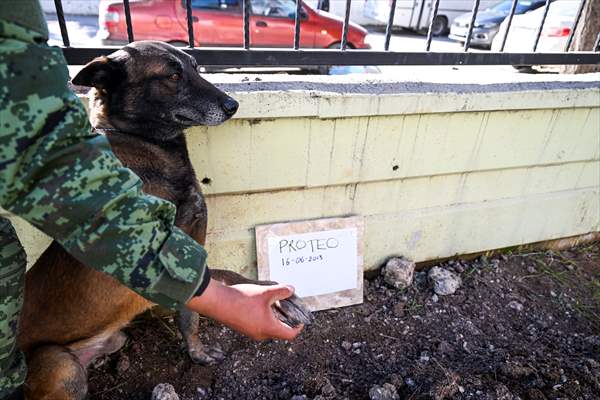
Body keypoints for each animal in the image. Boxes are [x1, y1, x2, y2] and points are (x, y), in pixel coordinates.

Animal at [16, 41, 312, 400]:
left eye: (197, 67)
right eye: (172, 75)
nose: (233, 105)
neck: (148, 146)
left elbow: (197, 308)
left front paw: (198, 352)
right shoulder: (168, 257)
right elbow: (219, 285)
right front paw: (282, 299)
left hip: (111, 339)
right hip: (61, 366)